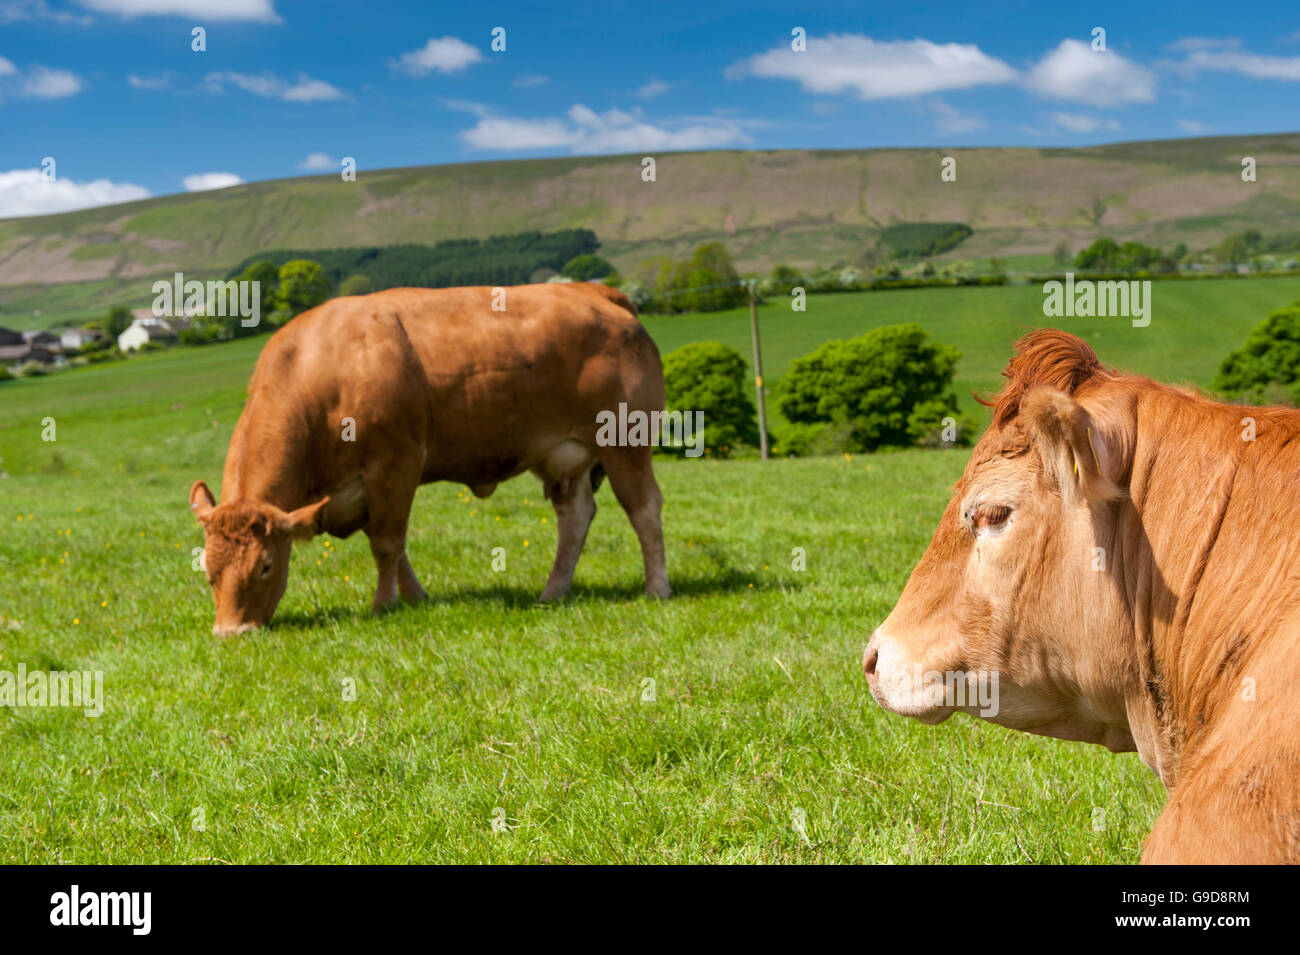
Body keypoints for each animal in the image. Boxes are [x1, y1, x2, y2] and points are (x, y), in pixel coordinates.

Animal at [189, 285, 670, 641]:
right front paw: (414, 597)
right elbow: (391, 544)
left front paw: (384, 604)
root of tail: (598, 292)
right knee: (575, 517)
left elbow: (387, 543)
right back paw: (553, 592)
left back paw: (657, 588)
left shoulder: (395, 465)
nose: (230, 633)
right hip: (564, 458)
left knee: (644, 508)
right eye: (208, 571)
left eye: (265, 566)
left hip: (625, 443)